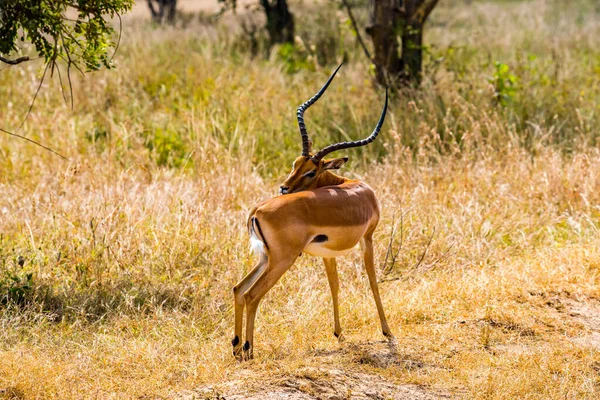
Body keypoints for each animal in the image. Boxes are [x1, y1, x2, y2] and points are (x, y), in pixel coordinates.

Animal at [232, 65, 392, 360]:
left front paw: (339, 334)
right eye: (296, 163)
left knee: (239, 289)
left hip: (266, 258)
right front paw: (387, 331)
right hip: (282, 260)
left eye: (309, 169)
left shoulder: (327, 253)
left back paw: (236, 347)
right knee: (252, 295)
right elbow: (374, 282)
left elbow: (334, 286)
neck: (357, 189)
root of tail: (257, 210)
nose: (284, 188)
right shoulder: (368, 238)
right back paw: (249, 350)